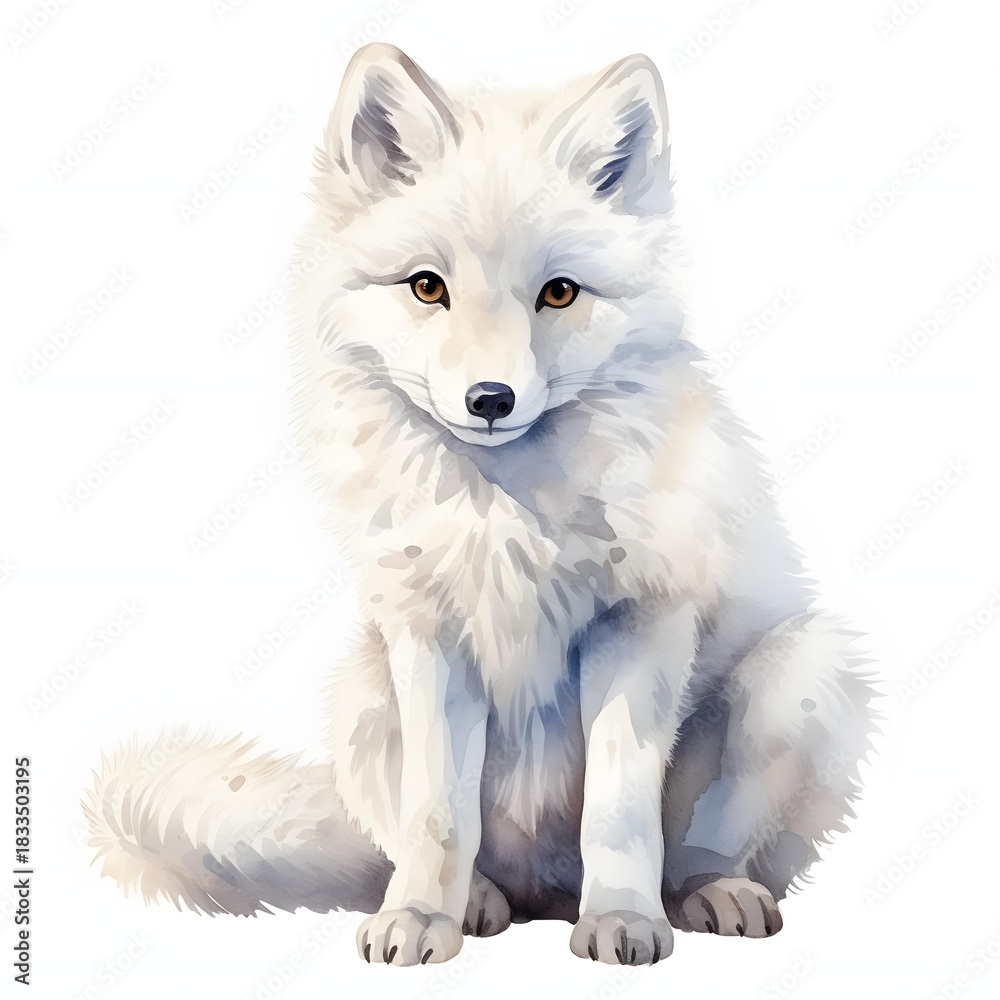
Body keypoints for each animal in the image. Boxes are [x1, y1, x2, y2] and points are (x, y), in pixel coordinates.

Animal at [86, 43, 874, 966]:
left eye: (559, 293)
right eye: (428, 287)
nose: (490, 400)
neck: (506, 517)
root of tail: (545, 894)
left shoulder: (641, 622)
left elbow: (619, 811)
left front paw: (624, 921)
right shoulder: (430, 637)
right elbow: (436, 816)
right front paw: (423, 919)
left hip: (808, 673)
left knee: (696, 847)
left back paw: (701, 896)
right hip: (361, 696)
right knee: (429, 845)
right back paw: (474, 905)